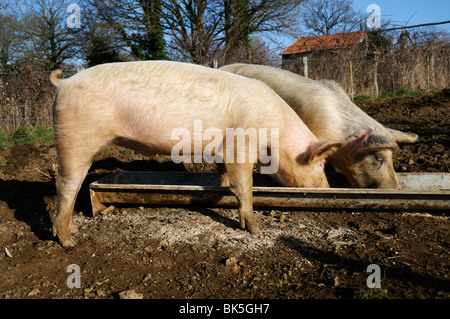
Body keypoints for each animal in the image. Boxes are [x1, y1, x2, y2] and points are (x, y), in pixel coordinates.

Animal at [49, 61, 342, 249]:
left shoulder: (222, 151)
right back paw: (69, 242)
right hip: (76, 137)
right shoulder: (240, 146)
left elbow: (224, 177)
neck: (275, 135)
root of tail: (64, 82)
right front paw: (256, 229)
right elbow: (244, 188)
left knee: (76, 184)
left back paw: (72, 229)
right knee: (64, 185)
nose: (328, 189)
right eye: (321, 165)